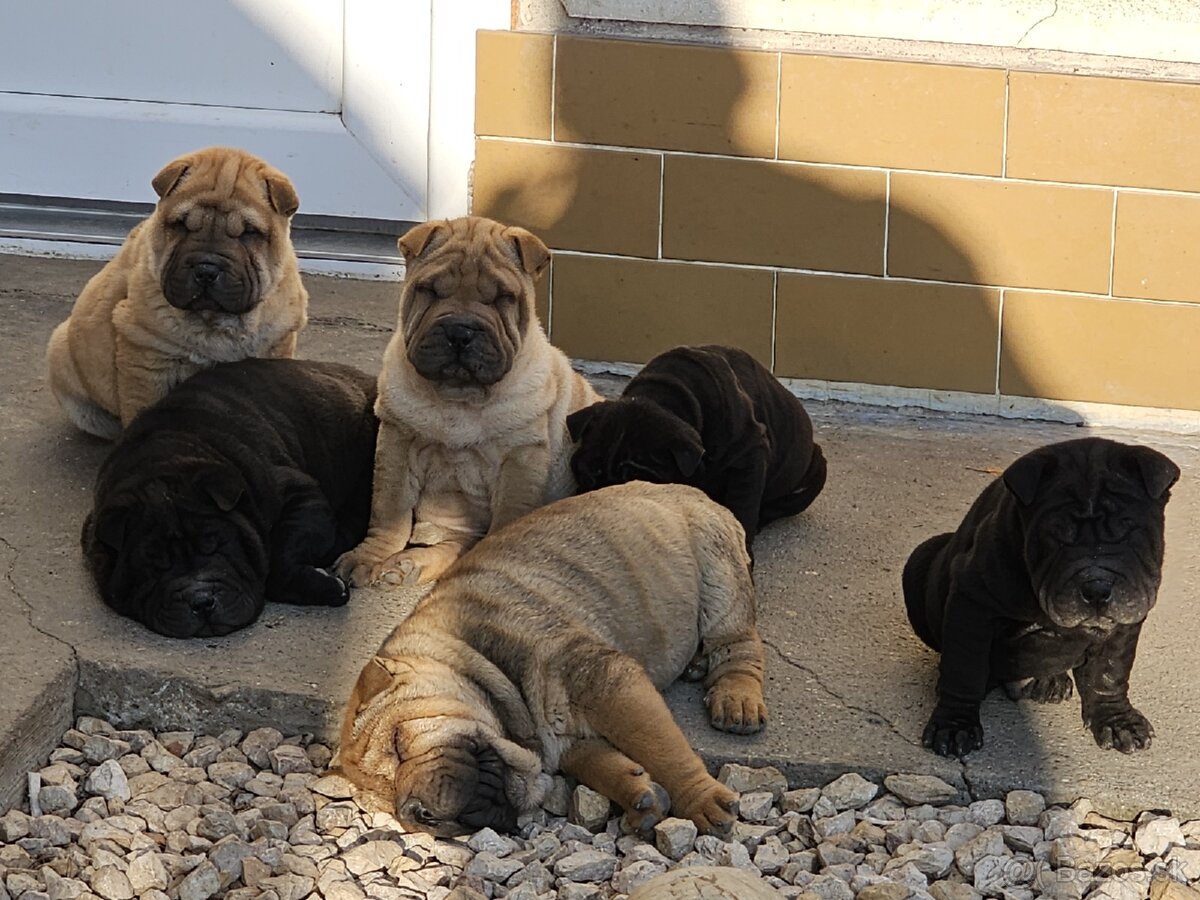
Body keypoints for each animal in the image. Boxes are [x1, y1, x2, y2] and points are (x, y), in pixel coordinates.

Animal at [45, 145, 309, 441]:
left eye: (248, 233)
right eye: (182, 225)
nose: (206, 269)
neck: (213, 322)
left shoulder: (276, 346)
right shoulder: (147, 358)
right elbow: (140, 407)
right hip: (61, 351)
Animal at [81, 355, 374, 638]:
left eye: (216, 546)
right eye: (154, 567)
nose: (200, 601)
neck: (166, 461)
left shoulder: (300, 495)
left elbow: (279, 556)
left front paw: (329, 585)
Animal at [338, 482, 768, 844]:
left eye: (397, 744)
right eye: (386, 800)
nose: (416, 812)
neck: (472, 656)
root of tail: (697, 492)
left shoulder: (607, 681)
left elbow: (662, 746)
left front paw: (702, 800)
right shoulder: (572, 734)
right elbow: (599, 761)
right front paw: (637, 792)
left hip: (719, 577)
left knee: (738, 645)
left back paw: (737, 700)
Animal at [902, 434, 1176, 753]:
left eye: (1128, 532)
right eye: (1057, 537)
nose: (1096, 587)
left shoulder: (1126, 619)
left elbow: (1111, 669)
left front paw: (1118, 720)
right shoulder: (972, 602)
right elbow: (964, 668)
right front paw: (954, 725)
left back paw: (1050, 681)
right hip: (920, 558)